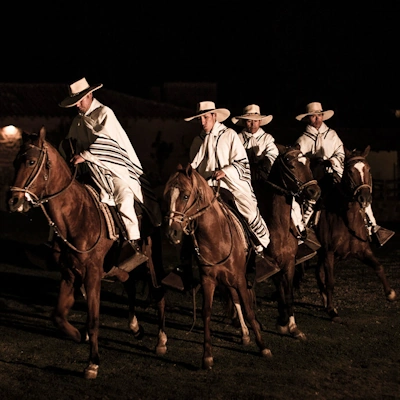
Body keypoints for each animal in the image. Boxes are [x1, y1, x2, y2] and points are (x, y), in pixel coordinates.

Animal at [8, 127, 167, 378]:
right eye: (15, 162)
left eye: (31, 161)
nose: (13, 201)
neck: (76, 216)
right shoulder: (69, 273)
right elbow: (58, 316)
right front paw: (78, 335)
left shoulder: (92, 274)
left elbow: (93, 320)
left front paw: (93, 362)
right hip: (119, 266)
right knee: (130, 284)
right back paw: (135, 327)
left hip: (151, 258)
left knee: (158, 292)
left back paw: (161, 340)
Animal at [163, 164, 272, 370]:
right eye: (167, 196)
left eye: (185, 196)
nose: (172, 233)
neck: (215, 237)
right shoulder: (208, 280)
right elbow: (206, 312)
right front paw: (207, 356)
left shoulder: (239, 278)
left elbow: (248, 309)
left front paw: (263, 347)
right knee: (234, 297)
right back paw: (244, 334)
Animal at [253, 142, 322, 340]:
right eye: (291, 165)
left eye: (308, 163)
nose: (315, 191)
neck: (279, 227)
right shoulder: (273, 265)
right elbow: (281, 291)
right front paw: (283, 322)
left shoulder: (289, 263)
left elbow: (288, 293)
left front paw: (291, 326)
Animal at [314, 145, 396, 324]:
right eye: (350, 171)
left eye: (368, 169)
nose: (364, 197)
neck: (346, 220)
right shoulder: (329, 252)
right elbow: (330, 281)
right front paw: (332, 311)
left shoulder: (362, 251)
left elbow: (378, 266)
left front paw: (390, 293)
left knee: (319, 273)